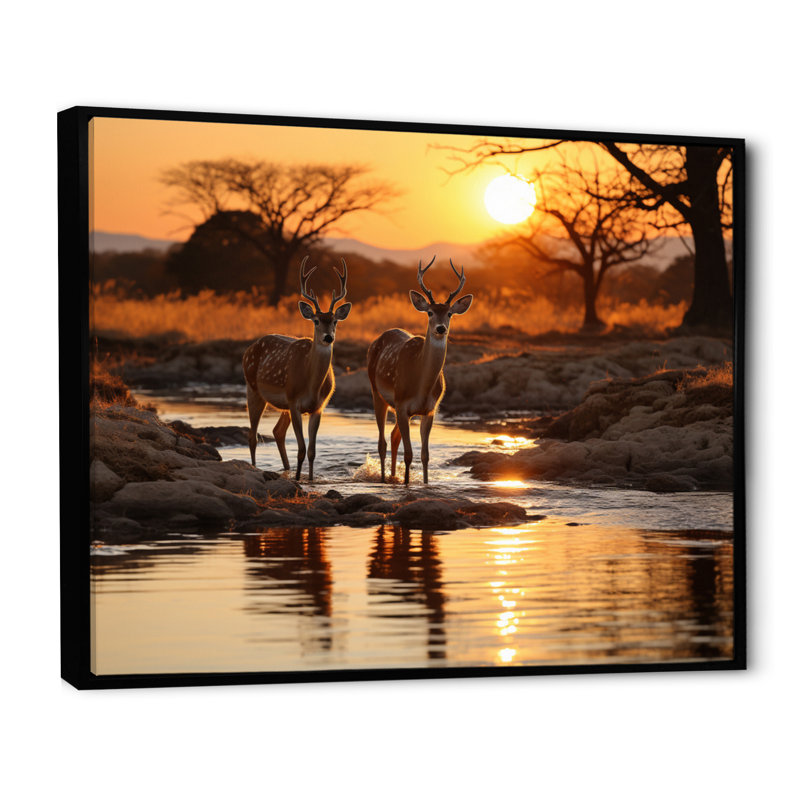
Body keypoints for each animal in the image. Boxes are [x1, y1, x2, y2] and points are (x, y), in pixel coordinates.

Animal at [242, 257, 351, 481]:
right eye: (316, 320)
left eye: (335, 321)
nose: (328, 337)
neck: (311, 385)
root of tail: (247, 350)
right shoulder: (294, 402)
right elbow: (301, 449)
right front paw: (299, 479)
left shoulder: (318, 407)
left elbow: (311, 451)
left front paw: (310, 479)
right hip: (253, 388)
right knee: (252, 435)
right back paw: (256, 468)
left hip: (281, 403)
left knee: (277, 431)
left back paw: (285, 469)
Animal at [367, 256, 473, 485]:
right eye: (430, 312)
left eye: (450, 313)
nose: (441, 328)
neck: (421, 386)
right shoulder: (401, 404)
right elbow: (409, 454)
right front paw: (407, 484)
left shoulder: (430, 410)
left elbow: (425, 455)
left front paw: (424, 483)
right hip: (377, 392)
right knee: (382, 442)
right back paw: (383, 479)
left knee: (393, 437)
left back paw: (393, 476)